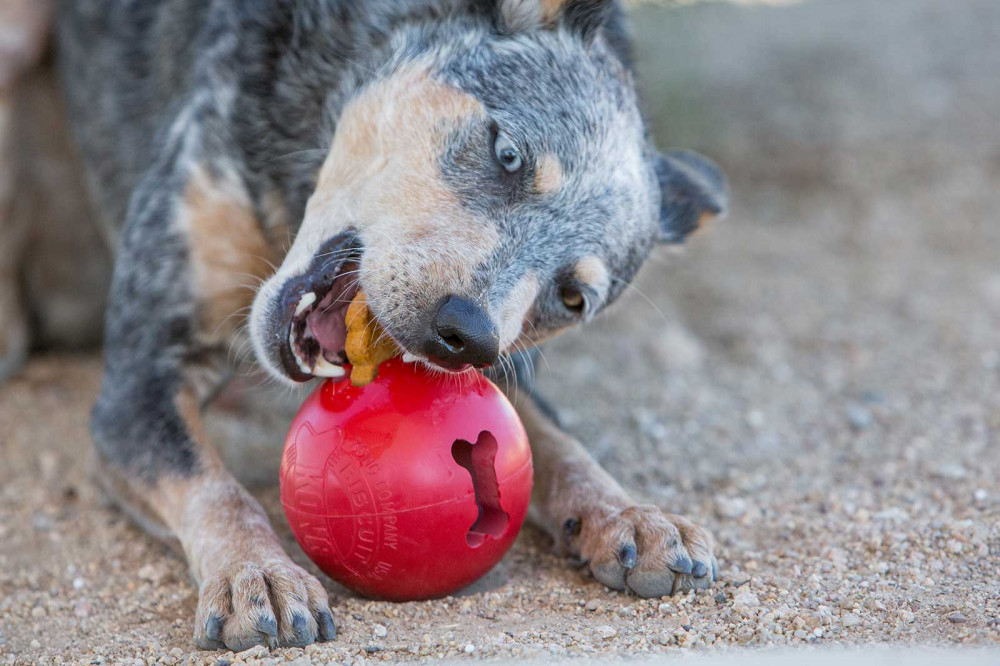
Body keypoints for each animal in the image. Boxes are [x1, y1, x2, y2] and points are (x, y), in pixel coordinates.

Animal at [0, 0, 728, 652]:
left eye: (573, 297)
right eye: (508, 153)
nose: (465, 336)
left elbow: (554, 441)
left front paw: (628, 513)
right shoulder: (140, 379)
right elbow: (214, 486)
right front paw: (255, 573)